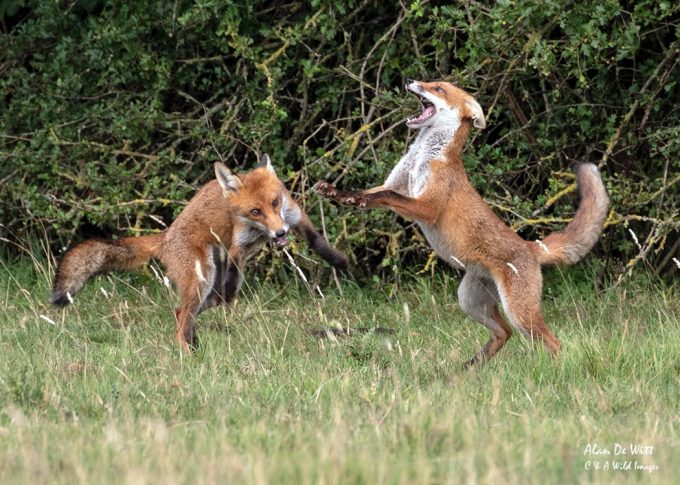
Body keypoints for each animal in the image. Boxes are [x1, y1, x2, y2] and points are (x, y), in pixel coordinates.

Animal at [52, 154, 348, 351]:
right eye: (255, 211)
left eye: (275, 202)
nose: (279, 234)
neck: (259, 232)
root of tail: (167, 237)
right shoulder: (237, 245)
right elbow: (233, 277)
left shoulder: (295, 215)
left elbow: (316, 239)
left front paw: (339, 260)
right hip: (202, 276)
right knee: (185, 314)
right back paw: (188, 353)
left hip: (208, 279)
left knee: (183, 310)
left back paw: (194, 341)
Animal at [317, 79, 609, 365]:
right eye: (429, 81)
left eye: (438, 89)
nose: (411, 80)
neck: (422, 158)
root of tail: (530, 247)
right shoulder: (395, 184)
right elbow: (372, 194)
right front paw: (339, 194)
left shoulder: (427, 206)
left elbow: (387, 197)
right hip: (469, 300)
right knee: (504, 332)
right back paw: (471, 367)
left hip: (518, 311)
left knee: (552, 342)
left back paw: (552, 369)